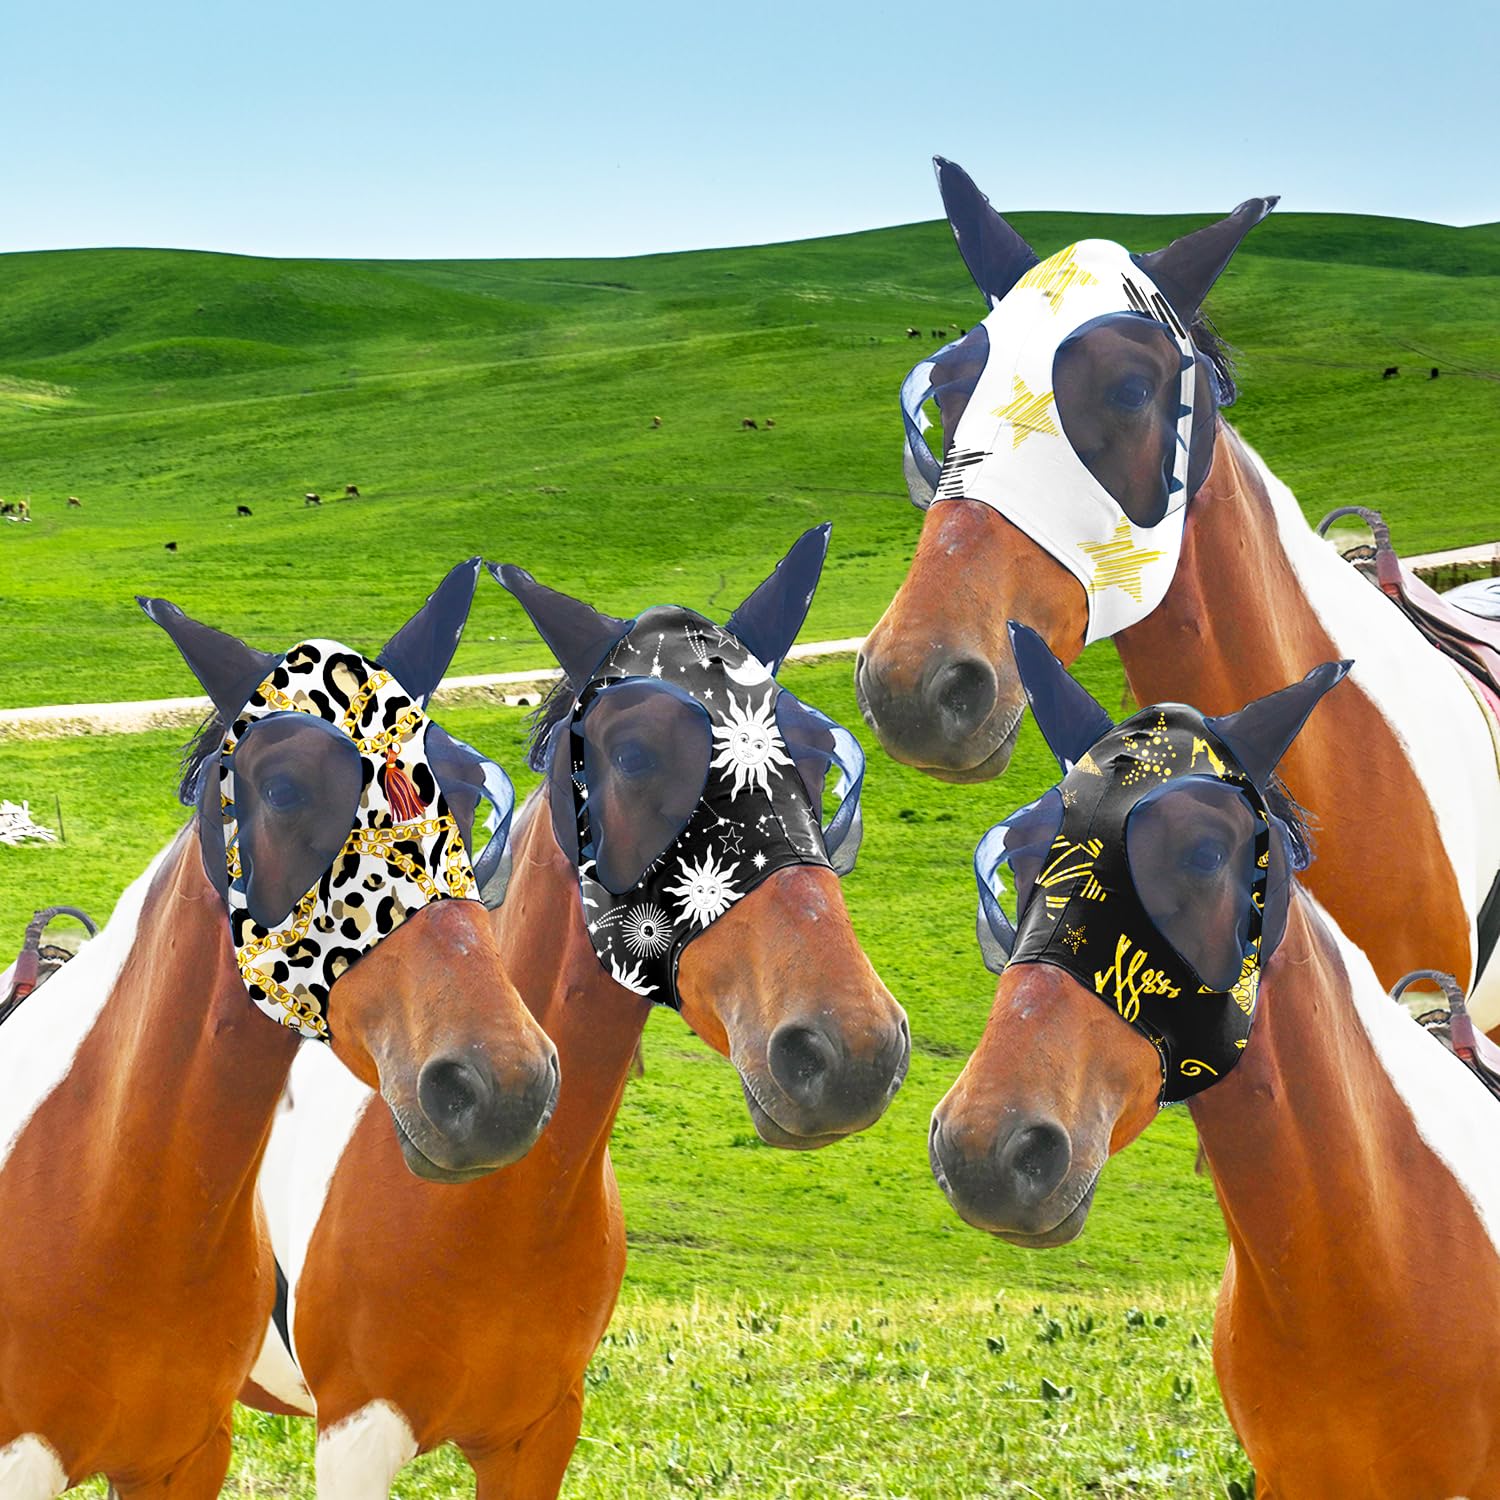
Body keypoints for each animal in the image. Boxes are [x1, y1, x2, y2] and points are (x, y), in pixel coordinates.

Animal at [244, 527, 911, 1497]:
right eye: (633, 757)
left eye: (819, 764)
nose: (852, 1048)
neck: (493, 1211)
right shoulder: (355, 1439)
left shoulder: (540, 1434)